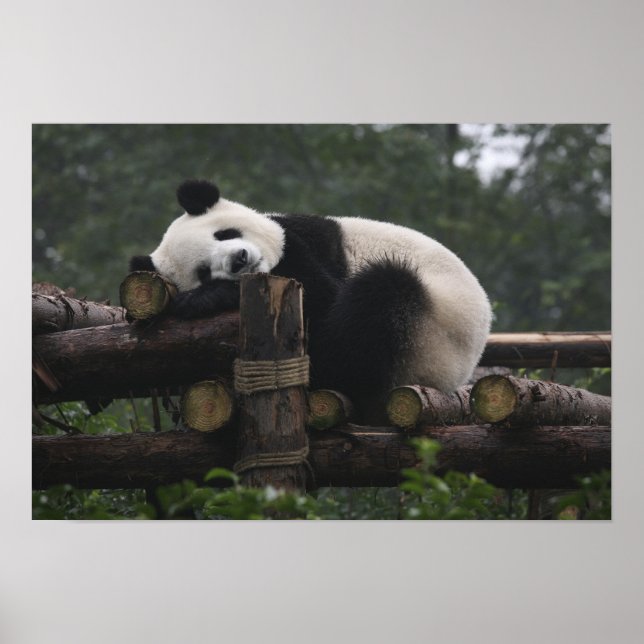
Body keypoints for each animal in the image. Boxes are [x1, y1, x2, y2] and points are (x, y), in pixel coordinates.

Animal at [130, 179, 492, 420]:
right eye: (203, 271)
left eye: (225, 234)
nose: (239, 260)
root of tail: (457, 375)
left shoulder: (306, 242)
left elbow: (323, 300)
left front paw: (202, 299)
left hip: (432, 330)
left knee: (379, 298)